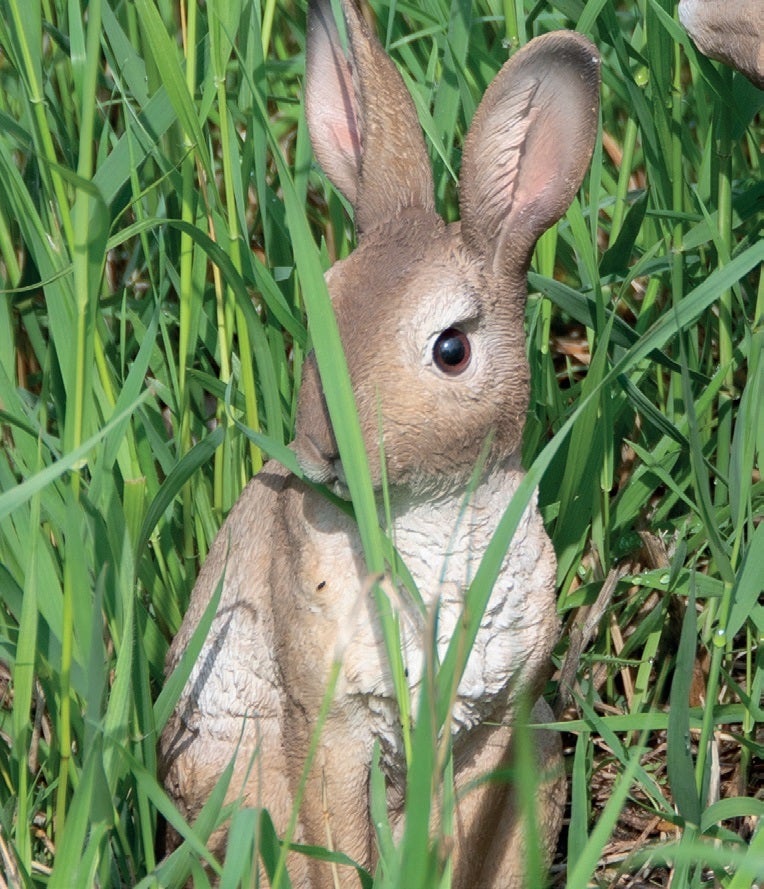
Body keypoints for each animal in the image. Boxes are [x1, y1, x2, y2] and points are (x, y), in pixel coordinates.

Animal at [158, 1, 600, 886]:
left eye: (451, 348)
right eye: (323, 307)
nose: (327, 452)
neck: (429, 513)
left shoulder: (492, 727)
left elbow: (456, 835)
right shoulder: (329, 728)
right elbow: (341, 844)